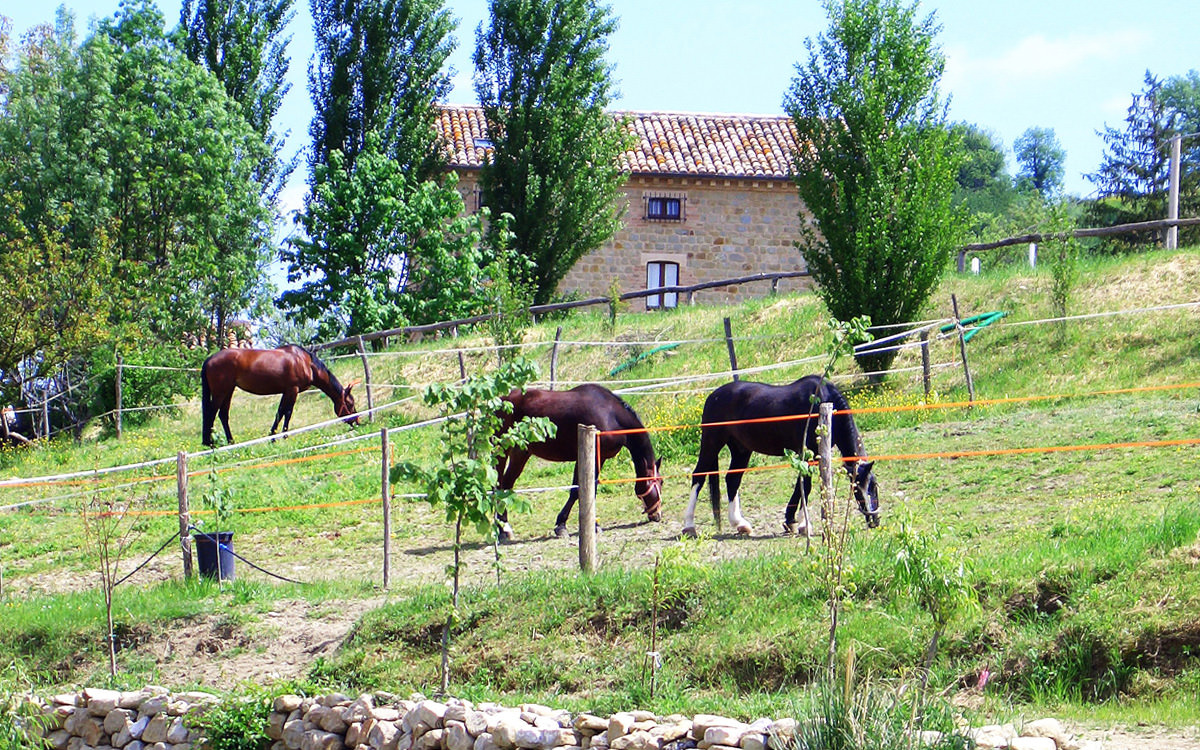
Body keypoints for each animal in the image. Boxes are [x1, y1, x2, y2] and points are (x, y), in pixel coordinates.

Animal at [201, 343, 357, 444]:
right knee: (211, 414)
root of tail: (209, 359)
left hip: (228, 391)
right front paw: (284, 435)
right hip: (221, 392)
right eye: (350, 403)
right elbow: (287, 413)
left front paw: (272, 436)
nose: (356, 421)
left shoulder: (286, 391)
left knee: (223, 415)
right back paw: (210, 443)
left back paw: (230, 441)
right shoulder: (293, 390)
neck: (305, 362)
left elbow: (279, 413)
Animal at [496, 386, 667, 537]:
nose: (657, 515)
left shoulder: (595, 458)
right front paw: (566, 526)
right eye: (661, 481)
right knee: (498, 485)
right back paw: (503, 531)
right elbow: (579, 491)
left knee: (507, 484)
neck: (611, 415)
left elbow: (585, 489)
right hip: (501, 450)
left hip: (521, 452)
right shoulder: (591, 458)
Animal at [686, 376, 883, 535]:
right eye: (857, 488)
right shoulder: (807, 452)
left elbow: (804, 485)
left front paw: (793, 521)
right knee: (698, 476)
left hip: (741, 450)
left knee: (732, 480)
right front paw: (802, 524)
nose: (874, 520)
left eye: (874, 486)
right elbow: (806, 485)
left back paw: (740, 524)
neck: (822, 401)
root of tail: (713, 396)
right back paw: (689, 526)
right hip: (712, 443)